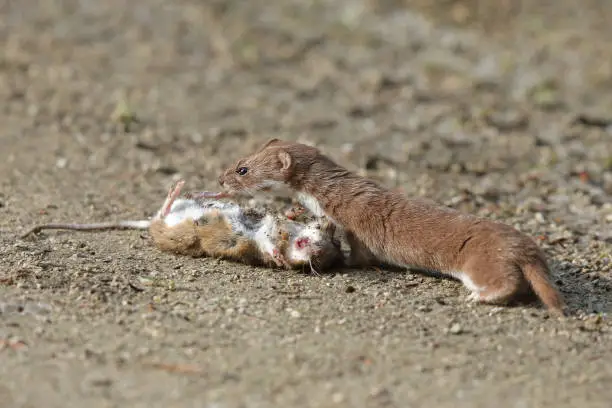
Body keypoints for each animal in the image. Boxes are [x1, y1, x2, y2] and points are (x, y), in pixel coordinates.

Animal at [19, 180, 342, 272]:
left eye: (319, 260)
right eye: (323, 234)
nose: (312, 247)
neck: (290, 238)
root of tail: (149, 225)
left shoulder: (255, 246)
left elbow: (270, 249)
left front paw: (279, 259)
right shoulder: (269, 232)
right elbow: (275, 223)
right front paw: (294, 211)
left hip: (174, 228)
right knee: (167, 207)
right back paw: (183, 187)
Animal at [218, 139, 568, 314]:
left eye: (242, 169)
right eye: (237, 159)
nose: (220, 179)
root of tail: (526, 248)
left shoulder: (355, 227)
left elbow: (359, 254)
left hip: (481, 261)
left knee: (504, 282)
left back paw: (479, 297)